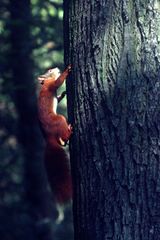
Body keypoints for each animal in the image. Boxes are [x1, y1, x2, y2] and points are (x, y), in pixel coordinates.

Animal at [37, 64, 72, 203]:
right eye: (49, 71)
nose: (55, 68)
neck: (45, 82)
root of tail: (49, 138)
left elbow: (58, 97)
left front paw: (63, 94)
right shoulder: (51, 85)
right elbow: (59, 81)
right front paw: (67, 70)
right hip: (59, 120)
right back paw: (69, 133)